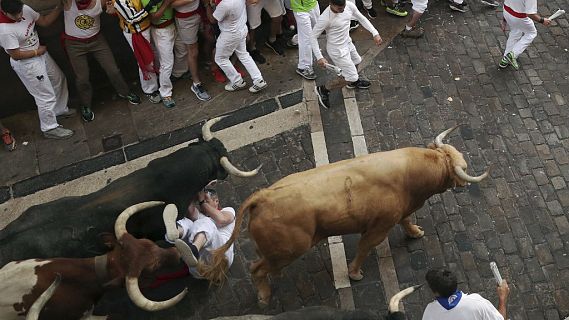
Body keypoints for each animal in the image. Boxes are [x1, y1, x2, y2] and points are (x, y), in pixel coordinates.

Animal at [199, 125, 488, 304]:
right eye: (462, 167)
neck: (409, 174)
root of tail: (263, 196)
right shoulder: (377, 228)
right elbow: (364, 248)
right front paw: (354, 273)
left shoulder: (398, 213)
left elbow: (406, 221)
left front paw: (415, 232)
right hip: (288, 251)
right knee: (256, 269)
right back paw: (264, 296)